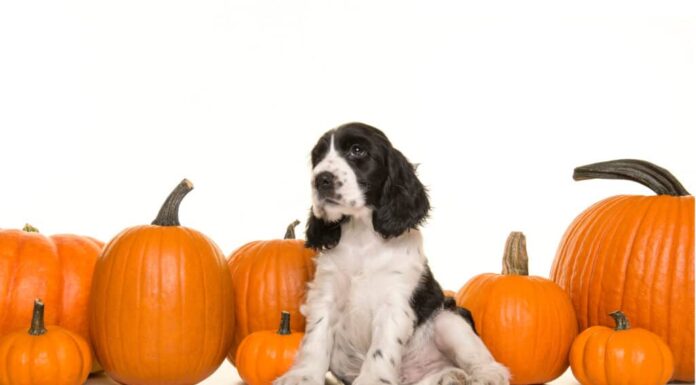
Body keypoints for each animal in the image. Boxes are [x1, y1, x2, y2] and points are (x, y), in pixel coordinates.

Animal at [274, 122, 508, 384]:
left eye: (357, 150)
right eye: (318, 157)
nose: (321, 179)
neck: (362, 235)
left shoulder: (395, 301)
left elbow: (381, 349)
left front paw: (372, 380)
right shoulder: (326, 293)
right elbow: (316, 339)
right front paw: (302, 377)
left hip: (447, 319)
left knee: (483, 360)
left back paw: (484, 376)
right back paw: (449, 377)